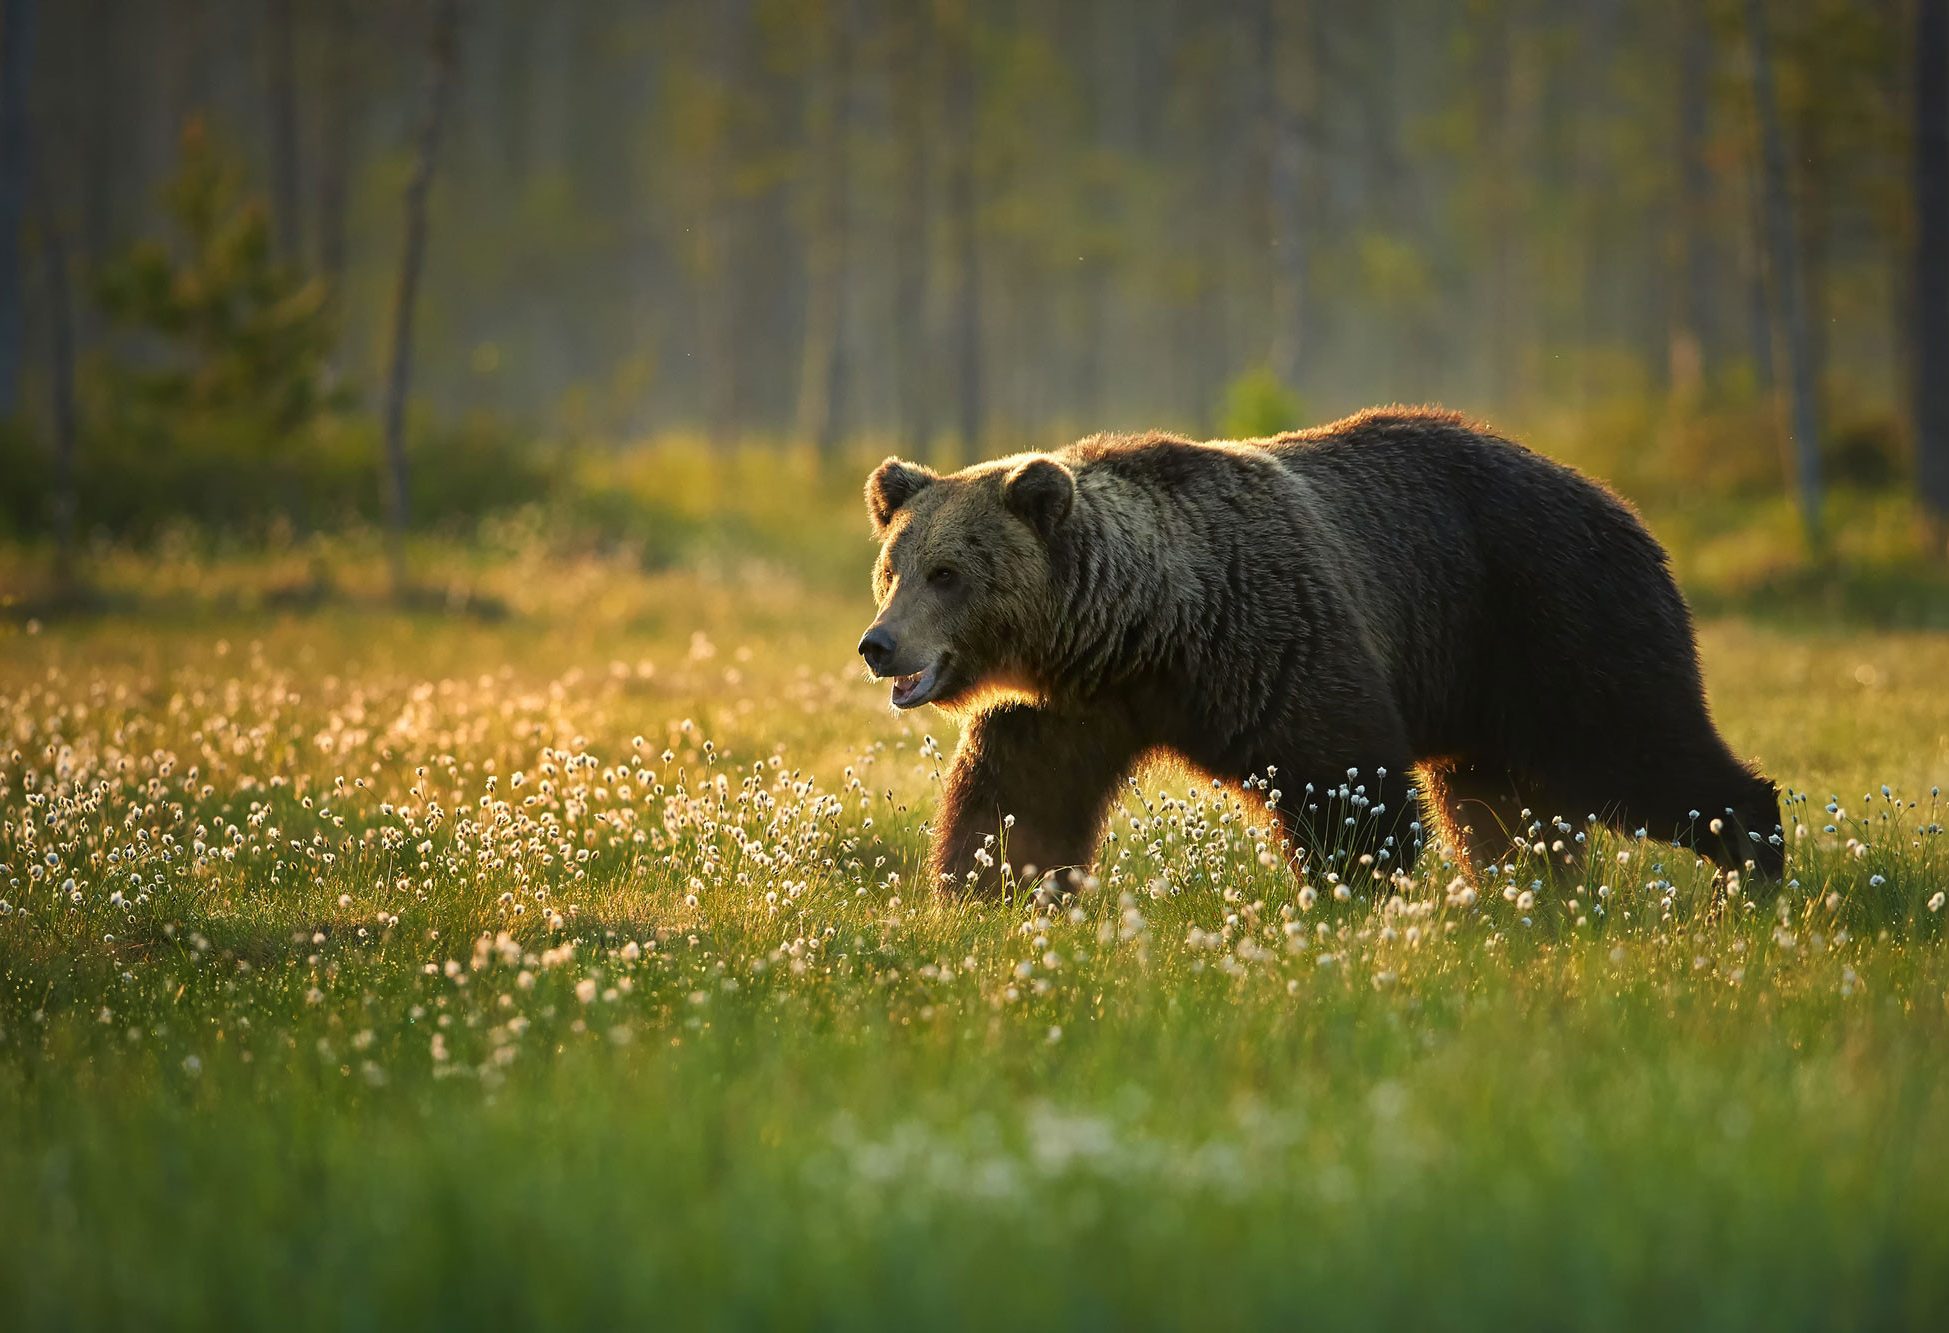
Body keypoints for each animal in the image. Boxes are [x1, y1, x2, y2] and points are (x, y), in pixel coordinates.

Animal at [857, 407, 1784, 896]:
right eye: (893, 567)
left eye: (948, 573)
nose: (878, 644)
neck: (1141, 632)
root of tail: (1623, 506)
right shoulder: (1066, 707)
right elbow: (1018, 800)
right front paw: (989, 889)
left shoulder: (1272, 639)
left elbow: (1342, 780)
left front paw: (1348, 892)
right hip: (1485, 690)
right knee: (1499, 808)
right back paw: (1528, 894)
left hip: (1555, 619)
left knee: (1640, 748)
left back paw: (1749, 867)